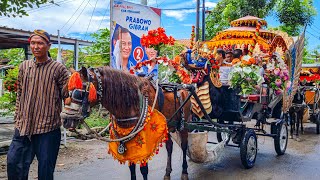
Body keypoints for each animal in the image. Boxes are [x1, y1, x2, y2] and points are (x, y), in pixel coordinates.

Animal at [61, 66, 192, 180]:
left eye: (78, 93)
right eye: (66, 93)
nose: (65, 120)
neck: (132, 100)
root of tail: (183, 87)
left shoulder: (144, 140)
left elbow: (144, 170)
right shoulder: (127, 138)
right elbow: (132, 167)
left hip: (185, 125)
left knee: (184, 145)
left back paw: (185, 172)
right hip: (168, 126)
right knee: (169, 146)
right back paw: (167, 173)